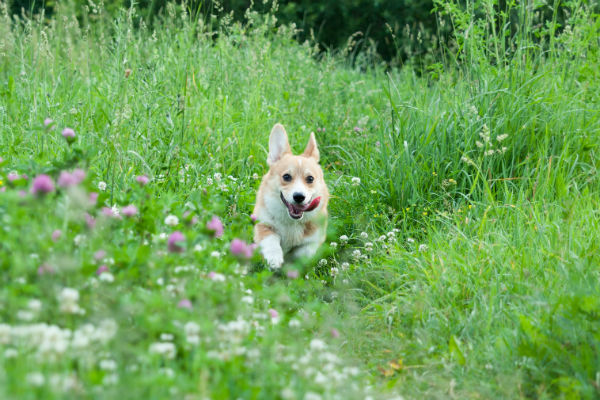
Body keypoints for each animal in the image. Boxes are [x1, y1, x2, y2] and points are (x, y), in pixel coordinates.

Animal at [252, 123, 330, 270]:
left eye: (310, 179)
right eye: (286, 177)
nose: (299, 196)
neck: (292, 222)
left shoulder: (313, 240)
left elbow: (302, 253)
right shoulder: (263, 225)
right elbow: (271, 240)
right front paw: (274, 258)